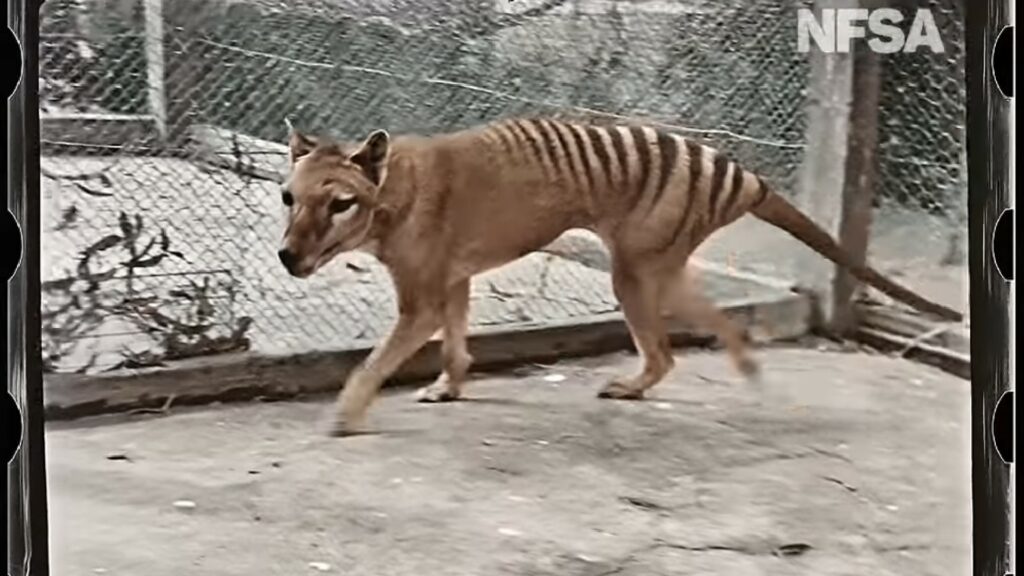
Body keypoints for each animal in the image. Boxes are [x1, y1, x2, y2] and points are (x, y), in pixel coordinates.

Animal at [276, 117, 963, 436]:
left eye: (340, 203)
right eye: (289, 197)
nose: (286, 257)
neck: (394, 191)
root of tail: (744, 175)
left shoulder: (420, 297)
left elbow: (374, 363)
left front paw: (346, 416)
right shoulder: (453, 281)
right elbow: (457, 345)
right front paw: (449, 387)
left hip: (633, 272)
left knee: (664, 353)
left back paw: (636, 386)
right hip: (660, 268)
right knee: (715, 324)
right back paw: (745, 367)